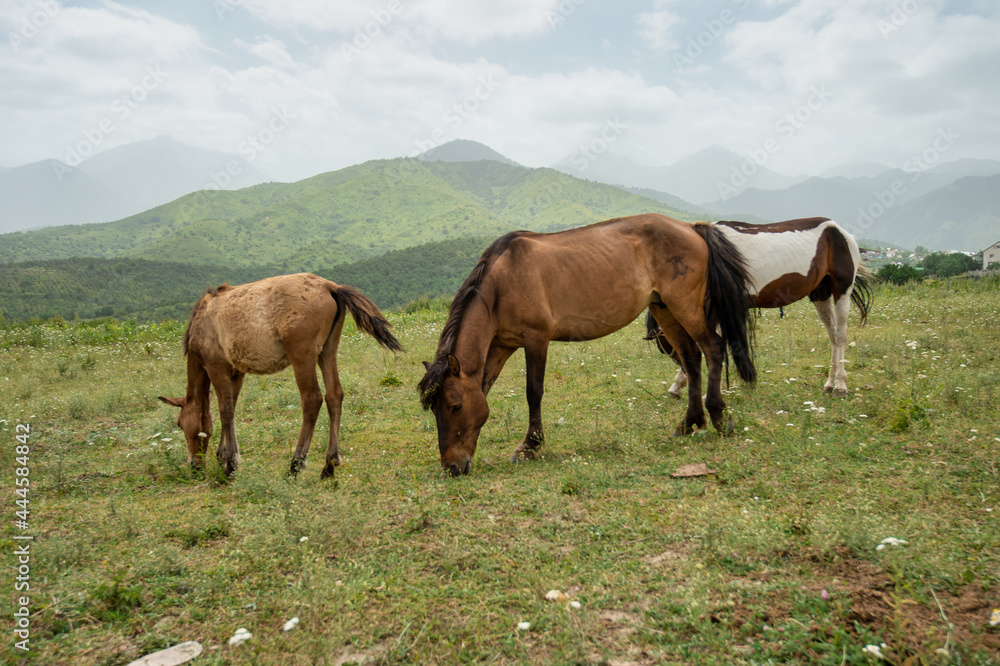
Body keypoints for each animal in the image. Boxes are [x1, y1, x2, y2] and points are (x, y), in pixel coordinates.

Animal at [160, 272, 402, 478]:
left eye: (179, 424)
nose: (194, 465)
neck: (202, 321)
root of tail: (329, 286)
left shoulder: (215, 367)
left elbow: (225, 411)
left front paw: (231, 465)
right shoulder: (236, 373)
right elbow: (230, 409)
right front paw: (223, 455)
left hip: (302, 357)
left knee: (312, 399)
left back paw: (296, 464)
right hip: (327, 352)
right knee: (334, 395)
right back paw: (329, 465)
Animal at [416, 213, 756, 472]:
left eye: (456, 406)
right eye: (434, 410)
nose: (452, 467)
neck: (501, 282)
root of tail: (691, 226)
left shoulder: (536, 338)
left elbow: (533, 392)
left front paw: (530, 446)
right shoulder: (501, 345)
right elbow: (484, 388)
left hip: (684, 307)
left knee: (713, 348)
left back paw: (716, 416)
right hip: (664, 310)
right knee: (691, 358)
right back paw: (688, 423)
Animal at [644, 217, 872, 394]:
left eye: (663, 344)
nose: (681, 365)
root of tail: (842, 233)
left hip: (842, 290)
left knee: (840, 336)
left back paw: (841, 385)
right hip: (820, 293)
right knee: (833, 335)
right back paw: (829, 383)